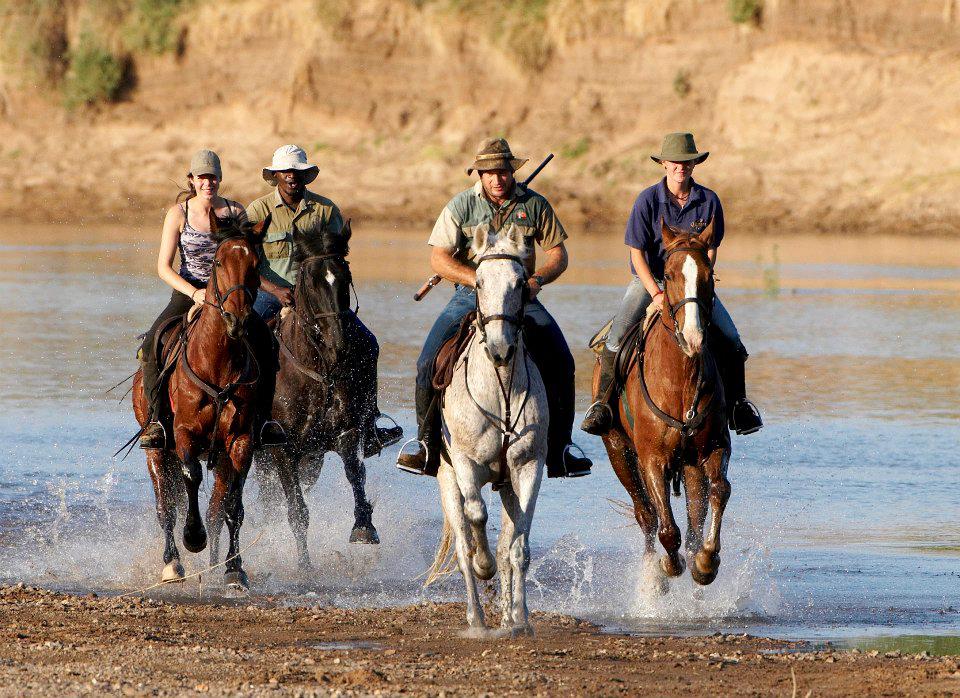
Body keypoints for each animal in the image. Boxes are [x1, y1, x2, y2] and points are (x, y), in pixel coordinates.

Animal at [131, 215, 266, 588]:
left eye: (256, 264)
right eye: (218, 262)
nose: (237, 320)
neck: (217, 361)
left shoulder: (241, 440)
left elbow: (233, 504)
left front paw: (235, 569)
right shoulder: (184, 433)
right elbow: (190, 477)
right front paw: (193, 538)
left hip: (218, 456)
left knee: (217, 507)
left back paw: (216, 560)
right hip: (157, 451)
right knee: (166, 506)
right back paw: (173, 563)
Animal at [258, 220, 386, 568]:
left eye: (345, 275)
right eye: (311, 280)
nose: (339, 344)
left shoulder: (345, 432)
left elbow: (355, 473)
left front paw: (364, 527)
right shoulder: (282, 449)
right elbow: (297, 511)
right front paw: (304, 565)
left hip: (311, 460)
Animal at [428, 226, 548, 632]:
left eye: (520, 284)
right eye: (478, 282)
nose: (500, 349)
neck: (501, 391)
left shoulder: (528, 467)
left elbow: (519, 547)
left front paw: (521, 619)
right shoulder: (464, 464)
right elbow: (477, 517)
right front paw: (484, 567)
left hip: (507, 485)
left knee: (507, 543)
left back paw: (508, 616)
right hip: (447, 480)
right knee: (463, 542)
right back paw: (476, 618)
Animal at [596, 219, 732, 588]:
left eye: (709, 273)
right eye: (669, 275)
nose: (693, 337)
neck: (680, 382)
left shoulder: (712, 448)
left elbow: (719, 491)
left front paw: (706, 562)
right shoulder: (651, 459)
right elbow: (666, 529)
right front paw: (668, 568)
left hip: (688, 466)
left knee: (694, 519)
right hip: (619, 451)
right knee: (647, 515)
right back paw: (652, 576)